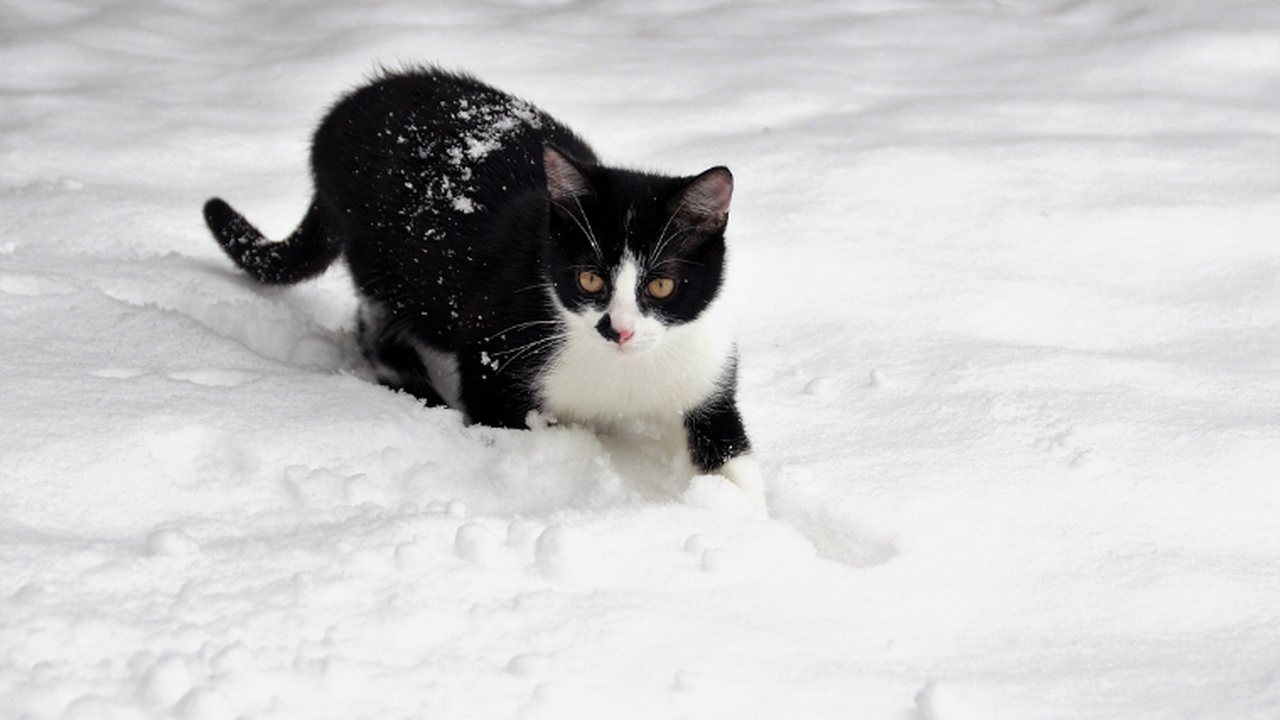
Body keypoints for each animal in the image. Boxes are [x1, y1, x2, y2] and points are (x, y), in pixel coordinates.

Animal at [199, 65, 757, 504]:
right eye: (590, 278)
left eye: (661, 287)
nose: (617, 330)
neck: (621, 372)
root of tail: (340, 113)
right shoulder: (495, 350)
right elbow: (499, 420)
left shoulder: (705, 368)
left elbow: (731, 452)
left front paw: (740, 517)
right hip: (386, 260)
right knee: (377, 321)